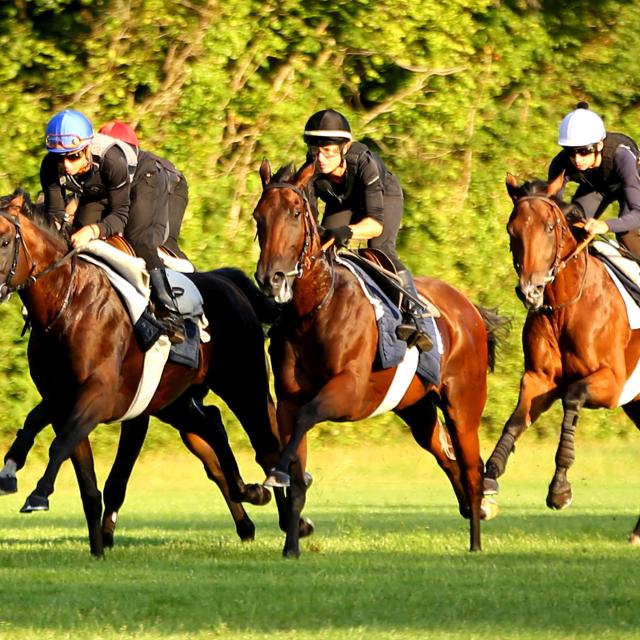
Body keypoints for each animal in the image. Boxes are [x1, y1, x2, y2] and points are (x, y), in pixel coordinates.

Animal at [0, 189, 288, 556]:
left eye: (4, 240)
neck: (67, 305)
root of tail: (227, 279)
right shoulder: (65, 398)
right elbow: (80, 474)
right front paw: (97, 548)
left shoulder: (100, 398)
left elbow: (65, 447)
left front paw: (39, 494)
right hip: (175, 401)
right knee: (212, 426)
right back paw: (249, 499)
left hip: (244, 384)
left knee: (266, 444)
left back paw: (290, 520)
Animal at [250, 160, 504, 556]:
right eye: (258, 216)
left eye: (294, 213)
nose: (270, 277)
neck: (314, 309)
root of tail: (469, 308)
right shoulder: (288, 400)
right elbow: (295, 466)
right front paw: (291, 544)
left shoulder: (349, 391)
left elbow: (308, 418)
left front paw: (275, 475)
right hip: (417, 409)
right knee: (448, 458)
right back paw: (473, 509)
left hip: (463, 404)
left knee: (471, 467)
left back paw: (476, 540)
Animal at [484, 171, 640, 544]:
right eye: (512, 229)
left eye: (550, 227)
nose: (530, 291)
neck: (565, 305)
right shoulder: (540, 378)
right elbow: (516, 420)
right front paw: (489, 478)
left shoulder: (612, 383)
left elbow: (572, 397)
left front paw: (559, 489)